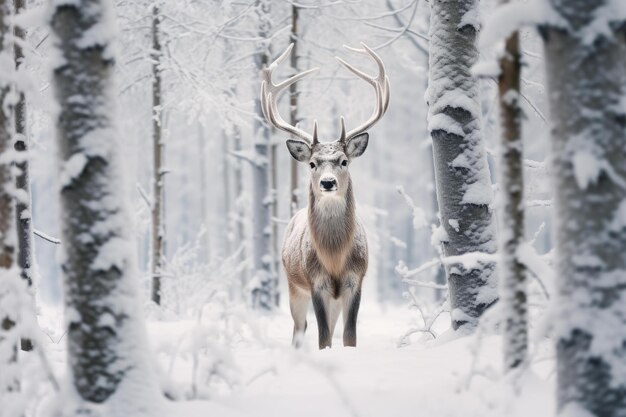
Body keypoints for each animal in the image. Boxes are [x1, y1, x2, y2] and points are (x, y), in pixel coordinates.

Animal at [260, 43, 388, 348]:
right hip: (293, 285)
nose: (328, 182)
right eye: (312, 163)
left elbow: (349, 336)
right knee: (299, 328)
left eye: (344, 161)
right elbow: (322, 337)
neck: (334, 260)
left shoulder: (356, 279)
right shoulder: (315, 281)